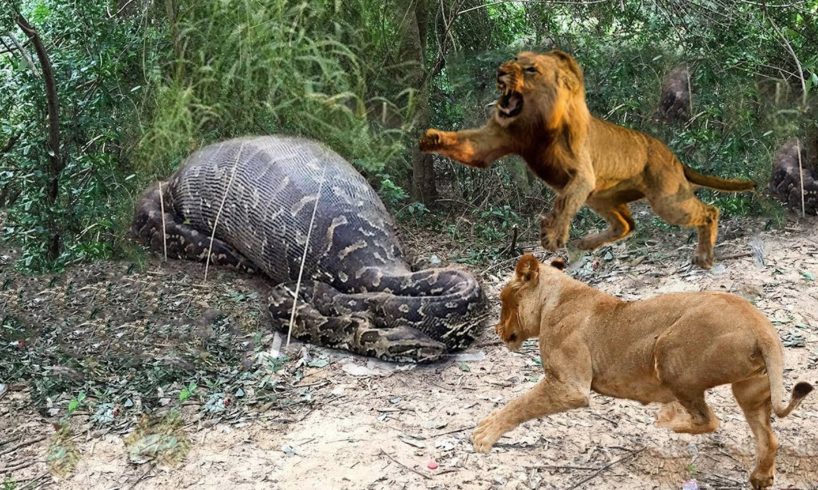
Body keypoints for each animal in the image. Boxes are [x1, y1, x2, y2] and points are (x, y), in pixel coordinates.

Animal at [419, 50, 755, 268]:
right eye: (514, 60)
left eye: (531, 69)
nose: (500, 71)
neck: (532, 124)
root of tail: (672, 154)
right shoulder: (493, 142)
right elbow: (467, 146)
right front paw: (431, 138)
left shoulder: (581, 174)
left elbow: (563, 201)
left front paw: (552, 235)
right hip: (601, 197)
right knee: (626, 226)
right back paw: (584, 243)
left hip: (666, 200)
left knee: (709, 211)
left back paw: (703, 257)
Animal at [472, 254, 813, 489]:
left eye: (502, 299)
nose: (496, 330)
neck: (555, 297)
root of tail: (761, 326)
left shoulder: (570, 386)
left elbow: (521, 403)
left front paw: (484, 434)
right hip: (749, 388)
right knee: (768, 438)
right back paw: (760, 477)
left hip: (669, 352)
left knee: (709, 419)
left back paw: (669, 422)